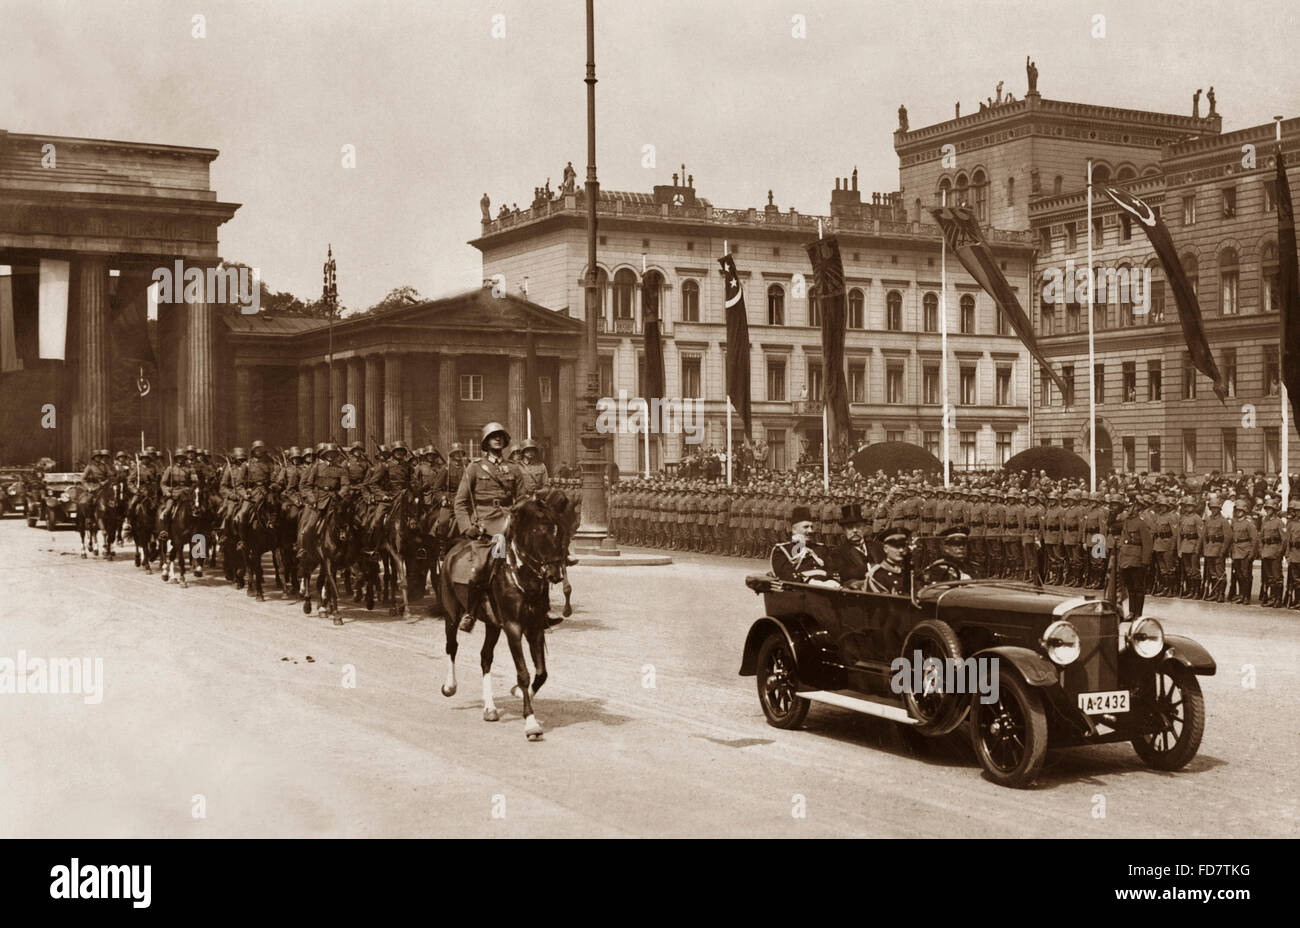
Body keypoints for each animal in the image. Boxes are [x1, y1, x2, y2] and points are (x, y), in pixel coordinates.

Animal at [436, 496, 569, 743]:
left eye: (561, 532)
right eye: (539, 532)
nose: (555, 574)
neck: (523, 576)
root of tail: (454, 550)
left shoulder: (535, 627)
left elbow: (541, 673)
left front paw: (518, 693)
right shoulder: (513, 627)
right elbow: (524, 673)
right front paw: (531, 723)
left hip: (492, 625)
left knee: (485, 658)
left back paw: (489, 708)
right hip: (451, 614)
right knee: (452, 646)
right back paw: (450, 686)